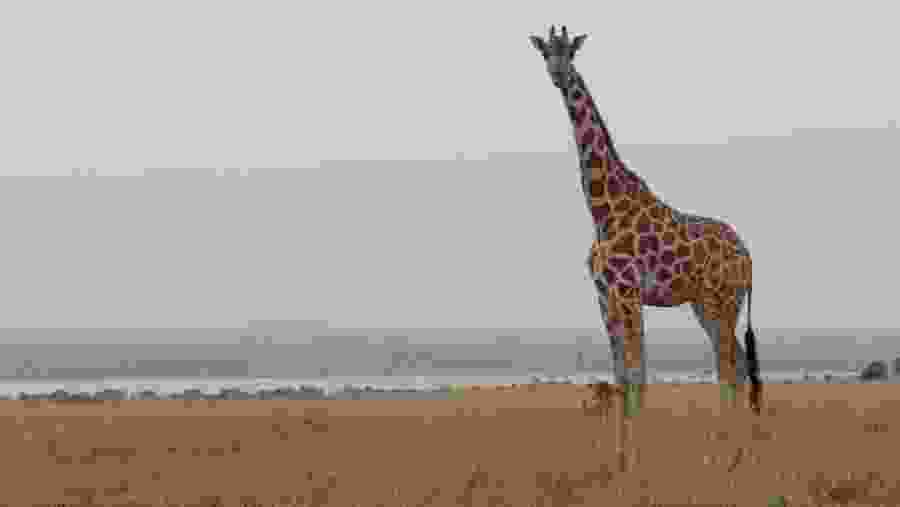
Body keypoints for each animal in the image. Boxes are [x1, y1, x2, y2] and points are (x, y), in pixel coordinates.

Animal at [529, 26, 761, 416]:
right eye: (546, 52)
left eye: (570, 52)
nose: (558, 73)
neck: (602, 212)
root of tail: (748, 256)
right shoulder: (603, 296)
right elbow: (622, 376)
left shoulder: (628, 290)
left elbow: (639, 375)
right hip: (704, 303)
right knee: (735, 364)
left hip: (725, 298)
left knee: (732, 364)